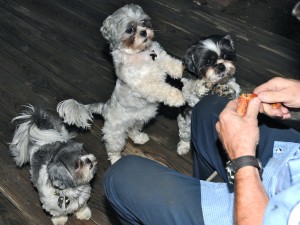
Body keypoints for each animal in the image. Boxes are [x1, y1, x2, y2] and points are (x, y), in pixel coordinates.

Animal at [55, 4, 183, 164]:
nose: (144, 32)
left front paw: (181, 68)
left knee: (132, 130)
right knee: (113, 148)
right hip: (115, 134)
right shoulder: (144, 84)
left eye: (144, 22)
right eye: (130, 30)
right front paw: (177, 97)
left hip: (138, 120)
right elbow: (162, 88)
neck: (140, 53)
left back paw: (139, 137)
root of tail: (104, 108)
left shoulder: (160, 57)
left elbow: (170, 62)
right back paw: (116, 159)